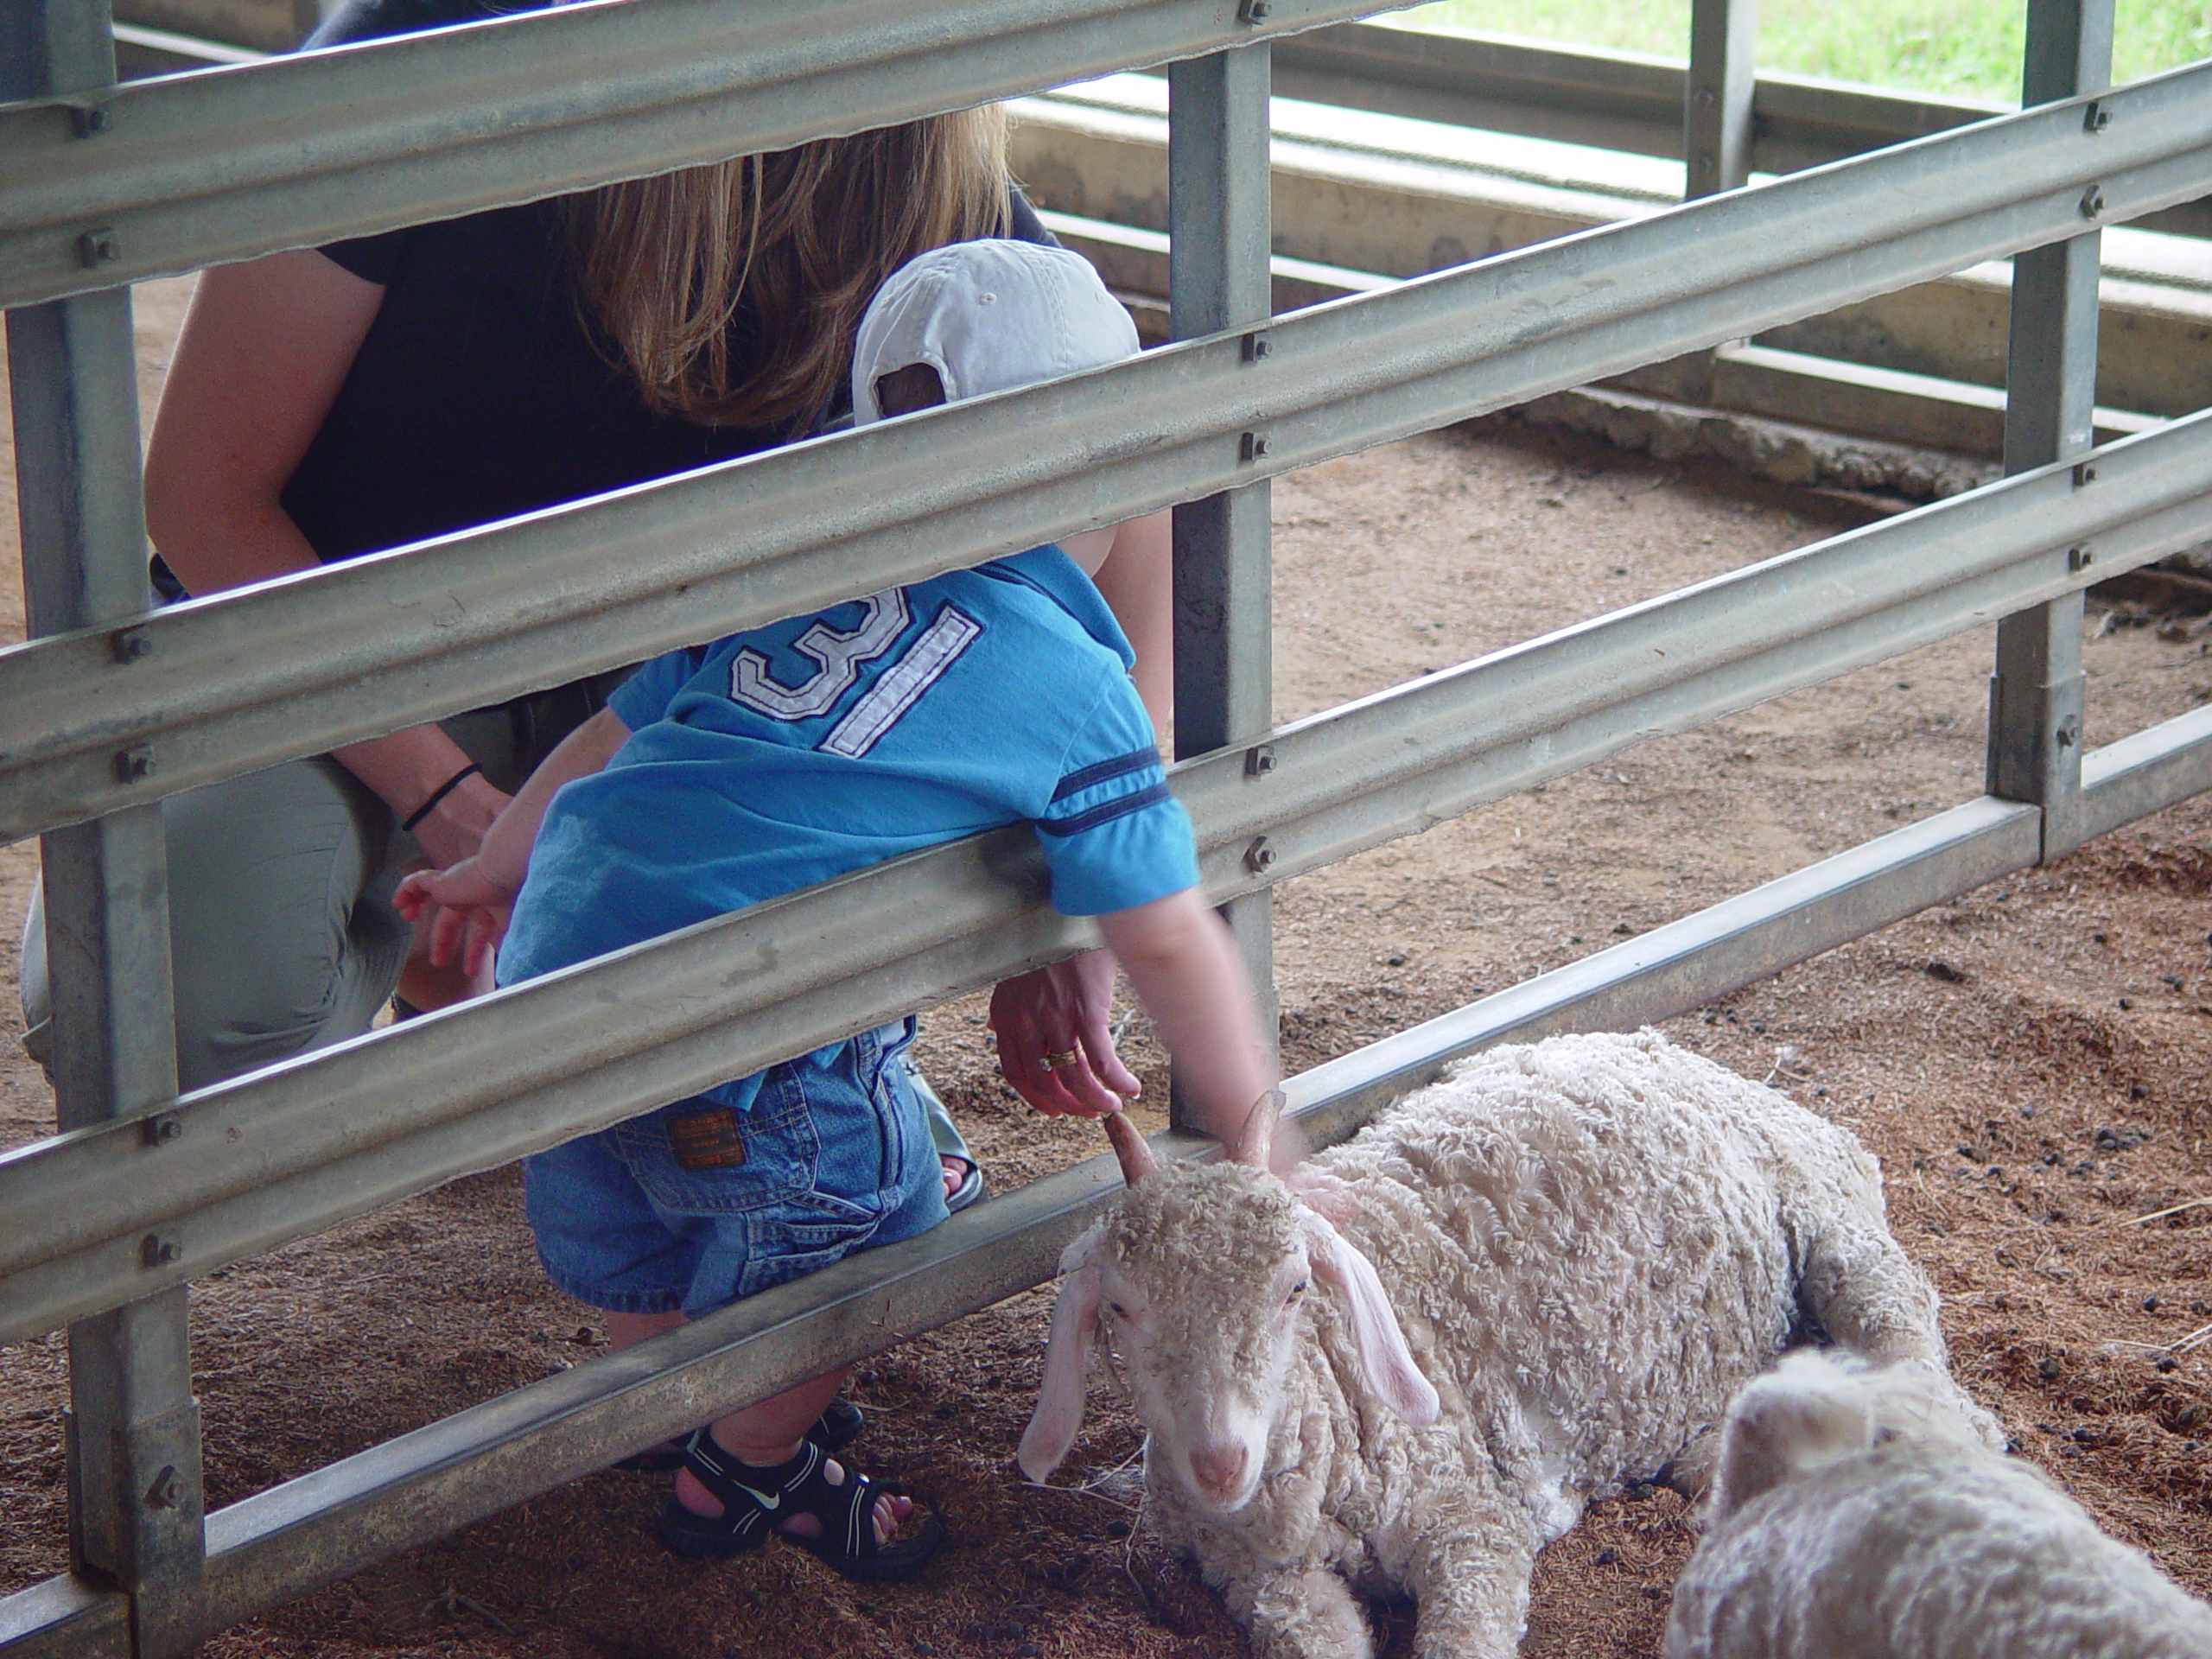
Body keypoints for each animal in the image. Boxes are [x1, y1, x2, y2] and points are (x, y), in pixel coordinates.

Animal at [1017, 1035, 1991, 1654]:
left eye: (1294, 1287)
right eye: (1119, 1308)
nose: (1219, 1463)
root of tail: (1678, 1055)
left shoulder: (1470, 1520)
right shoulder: (1260, 1580)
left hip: (1835, 1225)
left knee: (1927, 1365)